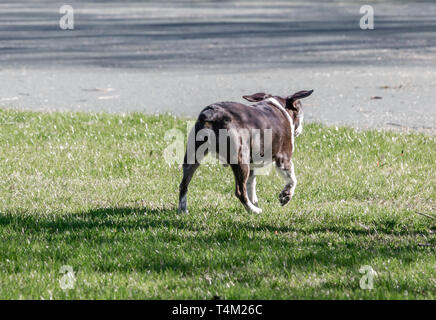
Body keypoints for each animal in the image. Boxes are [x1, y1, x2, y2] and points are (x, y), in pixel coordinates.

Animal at [177, 89, 314, 212]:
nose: (300, 129)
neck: (279, 107)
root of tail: (213, 114)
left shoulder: (252, 166)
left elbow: (251, 184)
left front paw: (255, 201)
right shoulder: (284, 158)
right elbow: (292, 179)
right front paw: (286, 195)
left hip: (193, 156)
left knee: (183, 185)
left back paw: (182, 210)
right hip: (241, 160)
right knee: (239, 191)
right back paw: (253, 210)